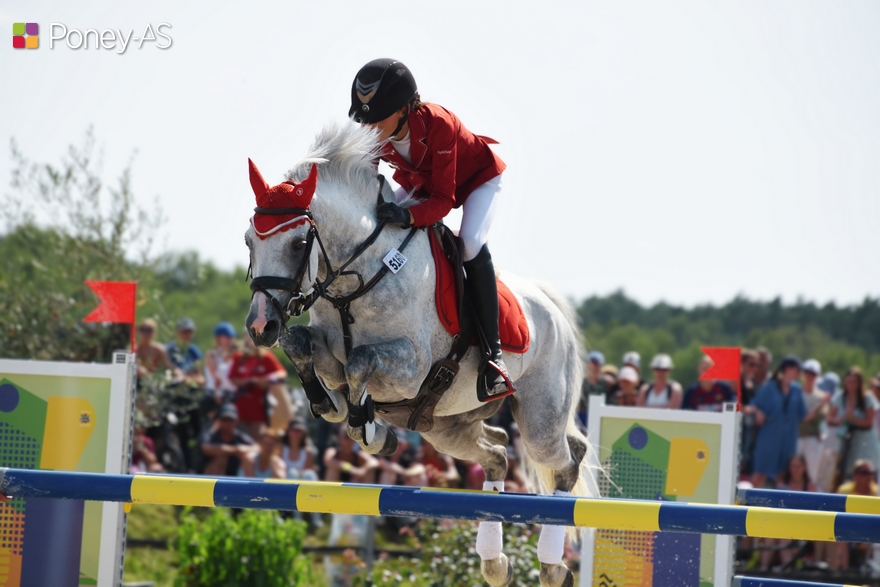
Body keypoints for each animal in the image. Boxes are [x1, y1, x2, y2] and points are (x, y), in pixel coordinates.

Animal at [244, 123, 595, 587]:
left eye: (300, 243)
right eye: (249, 239)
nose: (259, 326)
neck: (356, 278)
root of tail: (551, 305)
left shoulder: (410, 367)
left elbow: (361, 362)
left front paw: (369, 427)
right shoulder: (328, 353)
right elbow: (303, 346)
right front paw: (333, 407)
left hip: (539, 422)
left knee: (568, 458)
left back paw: (553, 567)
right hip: (443, 428)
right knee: (499, 453)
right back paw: (496, 563)